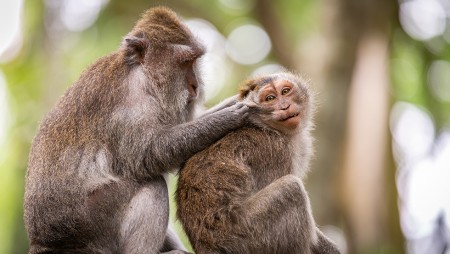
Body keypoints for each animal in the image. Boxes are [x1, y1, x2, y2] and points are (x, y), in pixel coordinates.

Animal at [23, 7, 250, 254]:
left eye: (195, 61)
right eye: (185, 62)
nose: (195, 85)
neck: (142, 74)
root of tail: (43, 241)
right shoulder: (130, 106)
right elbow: (149, 153)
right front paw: (227, 118)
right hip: (92, 224)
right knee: (152, 184)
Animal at [176, 72, 342, 254]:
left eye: (285, 91)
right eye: (270, 98)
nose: (284, 106)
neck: (268, 127)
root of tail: (206, 247)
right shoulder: (275, 152)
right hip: (245, 237)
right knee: (292, 189)